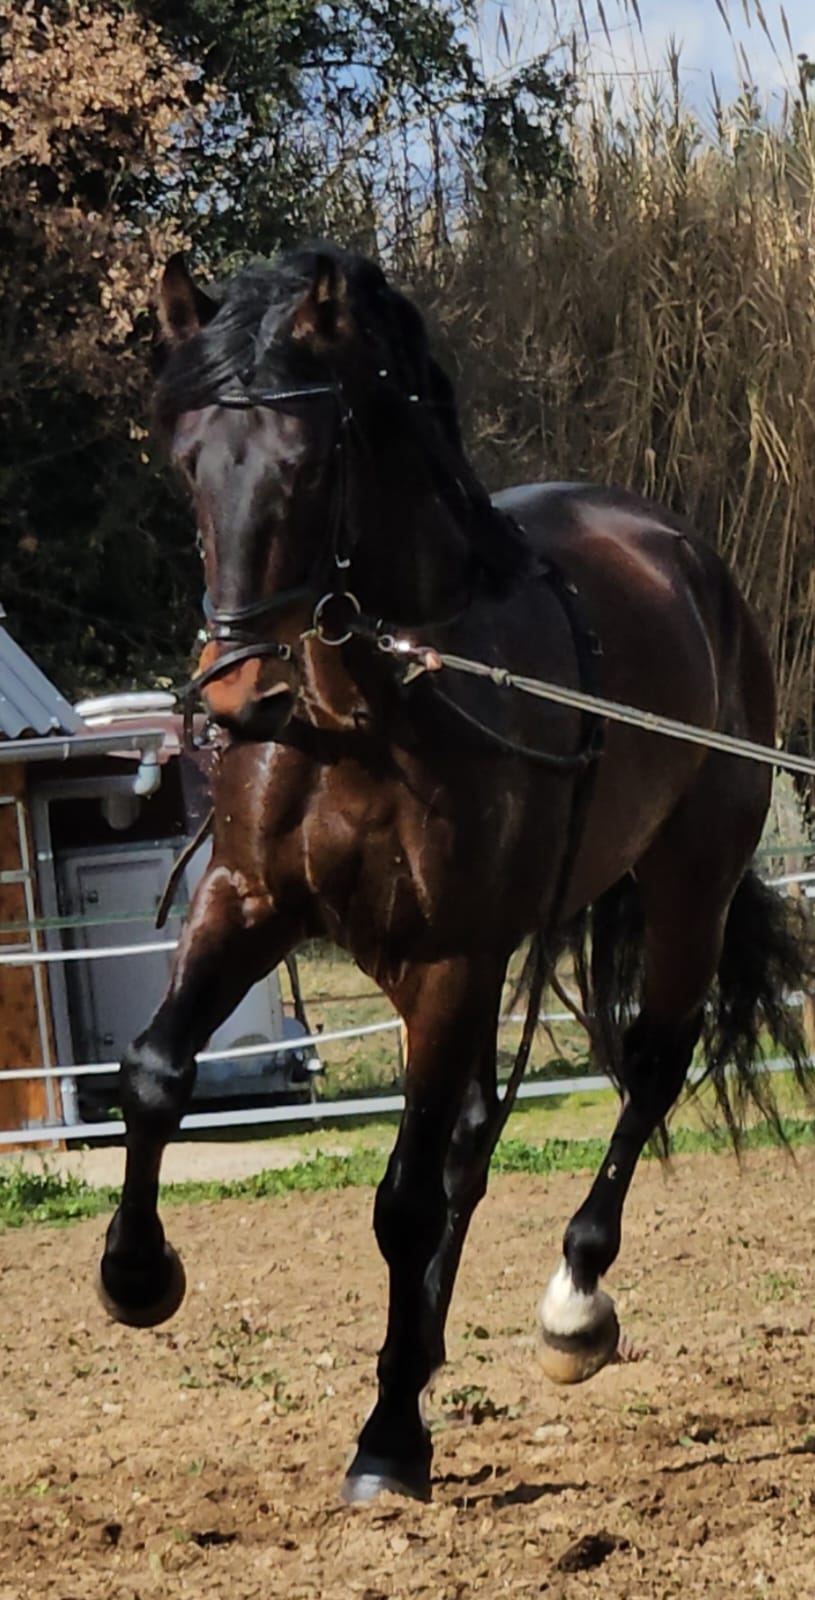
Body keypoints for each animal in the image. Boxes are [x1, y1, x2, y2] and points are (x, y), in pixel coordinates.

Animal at [97, 243, 813, 1505]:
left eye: (310, 461)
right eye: (186, 457)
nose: (234, 690)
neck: (366, 704)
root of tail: (685, 558)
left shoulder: (445, 958)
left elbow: (402, 1196)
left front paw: (386, 1439)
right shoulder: (251, 904)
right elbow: (153, 1073)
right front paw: (138, 1277)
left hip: (676, 895)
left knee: (643, 1074)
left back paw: (570, 1306)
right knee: (478, 1130)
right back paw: (423, 1357)